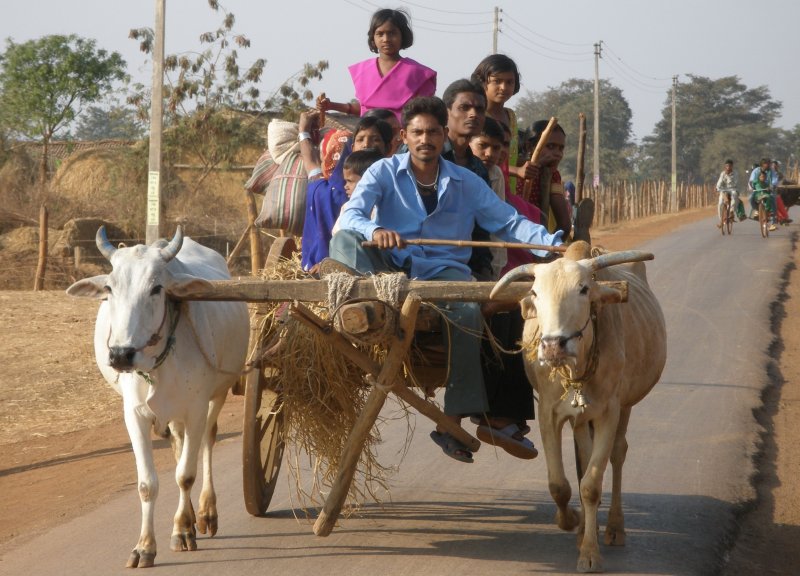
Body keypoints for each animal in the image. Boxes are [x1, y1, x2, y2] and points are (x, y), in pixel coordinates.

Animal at [69, 226, 247, 568]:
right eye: (109, 287)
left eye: (156, 288)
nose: (120, 354)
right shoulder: (135, 416)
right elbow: (147, 484)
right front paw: (145, 547)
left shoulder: (196, 410)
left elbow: (186, 475)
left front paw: (182, 532)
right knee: (178, 446)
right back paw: (189, 516)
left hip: (217, 394)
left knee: (207, 443)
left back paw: (205, 513)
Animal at [488, 241, 668, 572]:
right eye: (535, 292)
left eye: (584, 289)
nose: (552, 346)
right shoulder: (549, 412)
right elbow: (560, 484)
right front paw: (571, 520)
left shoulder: (610, 411)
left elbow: (591, 485)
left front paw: (590, 553)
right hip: (581, 419)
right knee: (584, 459)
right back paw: (586, 525)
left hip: (626, 406)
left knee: (618, 454)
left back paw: (614, 527)